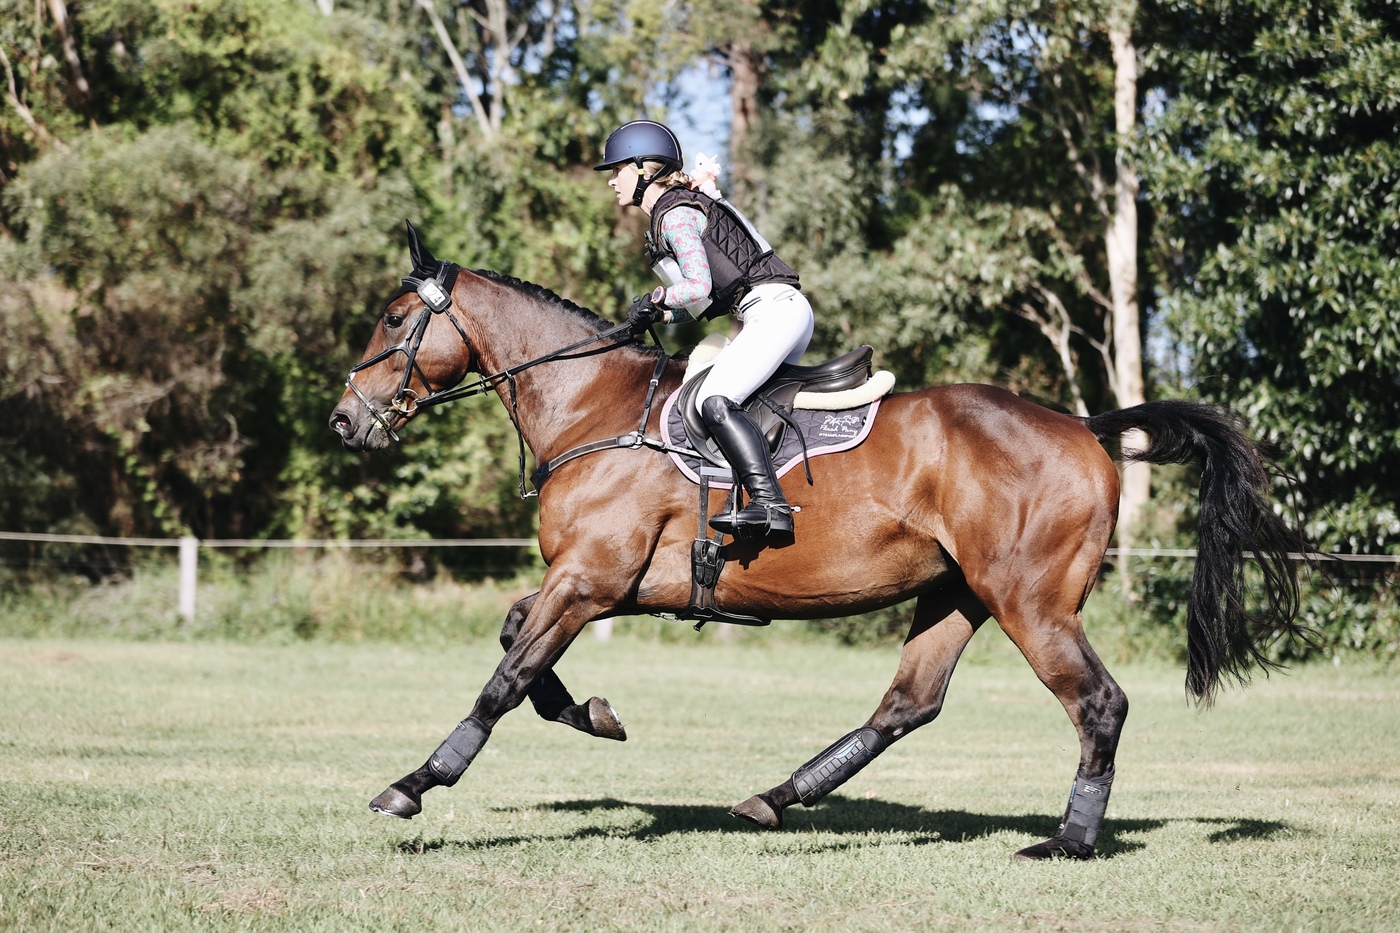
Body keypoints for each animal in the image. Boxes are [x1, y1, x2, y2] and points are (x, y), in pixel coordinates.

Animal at [328, 224, 1304, 860]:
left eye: (392, 319)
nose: (346, 420)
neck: (594, 410)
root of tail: (1084, 427)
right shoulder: (590, 582)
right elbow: (517, 648)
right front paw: (594, 713)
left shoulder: (589, 579)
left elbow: (504, 678)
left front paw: (416, 783)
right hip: (955, 592)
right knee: (908, 702)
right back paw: (775, 797)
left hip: (1030, 601)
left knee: (1098, 702)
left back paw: (1067, 839)